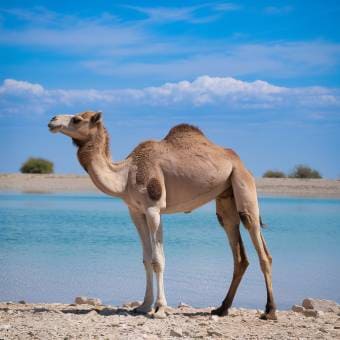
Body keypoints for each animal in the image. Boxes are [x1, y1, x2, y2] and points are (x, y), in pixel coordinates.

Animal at [47, 110, 276, 320]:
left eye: (77, 119)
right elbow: (146, 259)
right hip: (225, 195)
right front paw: (143, 306)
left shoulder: (154, 208)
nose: (52, 120)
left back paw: (270, 311)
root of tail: (238, 161)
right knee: (236, 246)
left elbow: (158, 260)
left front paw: (159, 308)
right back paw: (221, 308)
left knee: (258, 241)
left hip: (243, 182)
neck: (125, 175)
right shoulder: (136, 212)